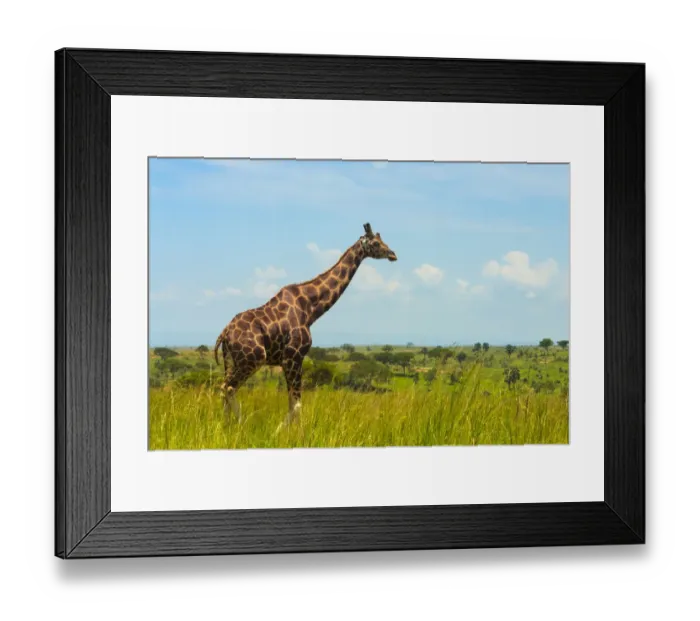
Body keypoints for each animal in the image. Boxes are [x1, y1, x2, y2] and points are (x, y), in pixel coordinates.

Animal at [214, 223, 397, 426]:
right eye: (376, 243)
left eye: (382, 240)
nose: (392, 254)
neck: (310, 310)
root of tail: (225, 333)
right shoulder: (293, 356)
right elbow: (296, 404)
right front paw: (283, 431)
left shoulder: (290, 360)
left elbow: (292, 402)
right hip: (254, 357)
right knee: (229, 388)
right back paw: (241, 424)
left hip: (231, 360)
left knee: (224, 388)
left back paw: (225, 425)